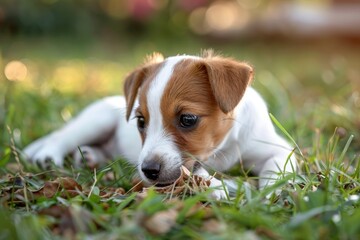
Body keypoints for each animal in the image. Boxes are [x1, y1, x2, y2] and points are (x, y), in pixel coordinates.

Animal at [23, 51, 296, 199]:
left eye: (188, 119)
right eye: (141, 121)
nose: (149, 171)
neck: (224, 149)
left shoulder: (279, 149)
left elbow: (275, 171)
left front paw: (271, 192)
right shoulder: (192, 165)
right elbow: (201, 175)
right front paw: (222, 187)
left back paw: (89, 156)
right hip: (96, 120)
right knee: (61, 136)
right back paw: (48, 156)